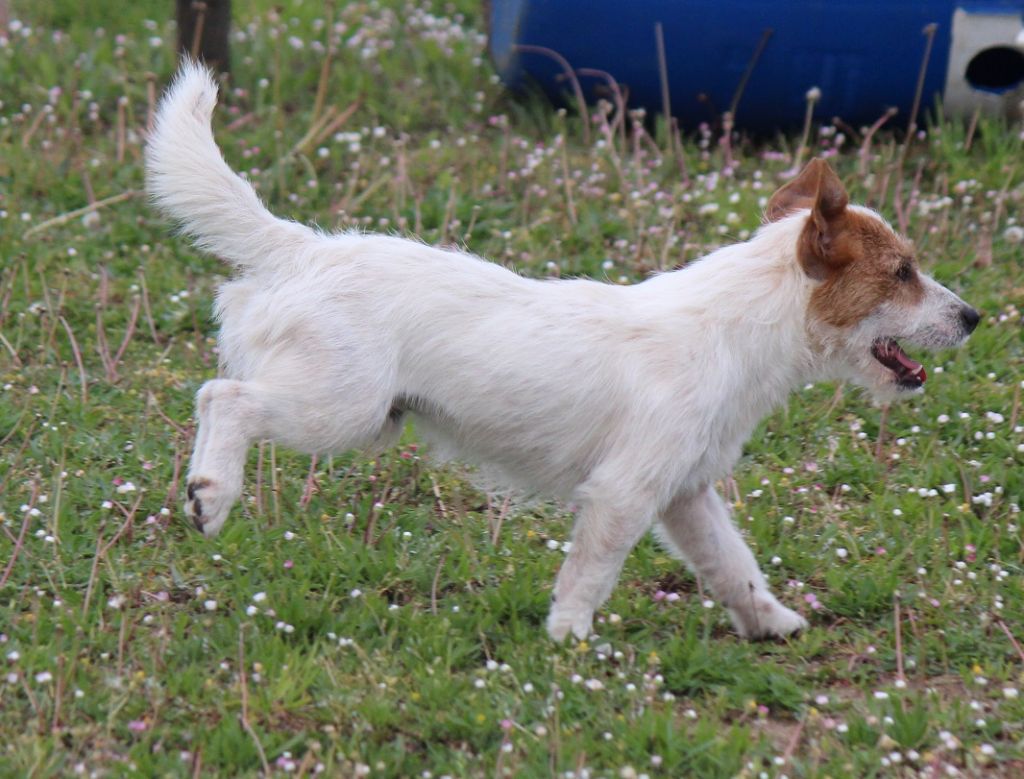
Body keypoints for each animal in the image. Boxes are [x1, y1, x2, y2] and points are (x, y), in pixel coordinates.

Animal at [148, 63, 978, 642]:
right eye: (902, 272)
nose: (973, 317)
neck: (734, 327)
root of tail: (306, 249)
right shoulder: (623, 494)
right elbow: (593, 570)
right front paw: (570, 639)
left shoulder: (685, 494)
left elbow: (733, 566)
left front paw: (770, 621)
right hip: (337, 411)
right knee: (223, 397)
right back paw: (212, 491)